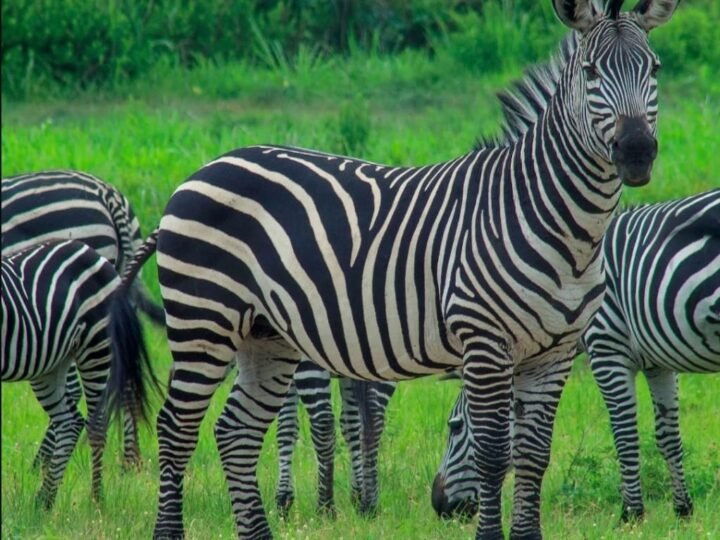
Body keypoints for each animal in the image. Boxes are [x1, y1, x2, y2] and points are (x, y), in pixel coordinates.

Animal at [1, 239, 148, 510]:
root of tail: (92, 253)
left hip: (97, 349)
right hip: (49, 364)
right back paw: (44, 501)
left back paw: (97, 500)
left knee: (96, 425)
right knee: (70, 422)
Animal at [275, 361, 396, 518]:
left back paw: (325, 509)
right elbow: (352, 424)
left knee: (323, 423)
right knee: (374, 419)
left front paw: (283, 501)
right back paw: (369, 506)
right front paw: (358, 494)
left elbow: (285, 427)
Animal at [431, 189, 720, 522]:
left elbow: (625, 435)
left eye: (454, 427)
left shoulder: (607, 347)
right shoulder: (657, 363)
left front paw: (631, 514)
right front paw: (683, 510)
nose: (438, 505)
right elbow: (668, 436)